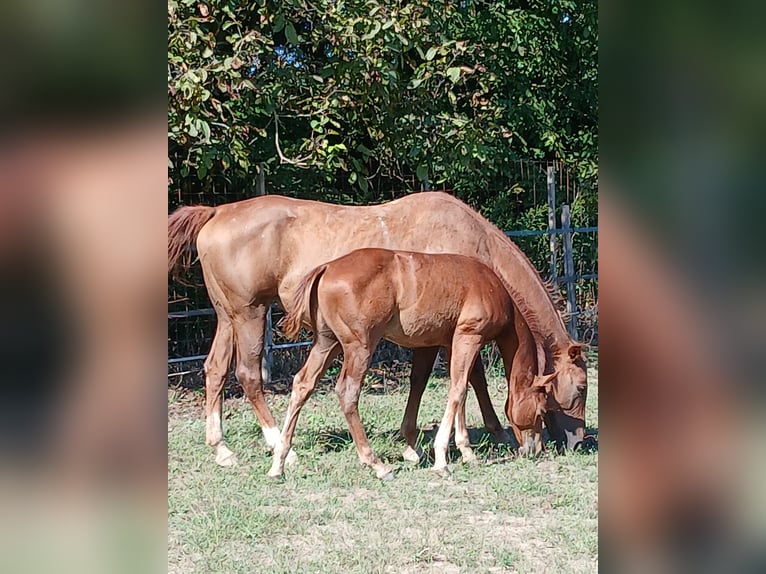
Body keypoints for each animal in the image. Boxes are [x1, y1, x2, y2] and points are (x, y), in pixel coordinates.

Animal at [271, 248, 578, 479]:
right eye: (541, 409)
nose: (535, 449)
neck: (491, 286)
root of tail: (327, 268)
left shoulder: (452, 342)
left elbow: (460, 389)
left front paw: (466, 451)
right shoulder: (469, 336)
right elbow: (458, 391)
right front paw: (442, 458)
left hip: (327, 343)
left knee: (303, 384)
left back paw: (279, 461)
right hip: (358, 347)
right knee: (347, 392)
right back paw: (377, 464)